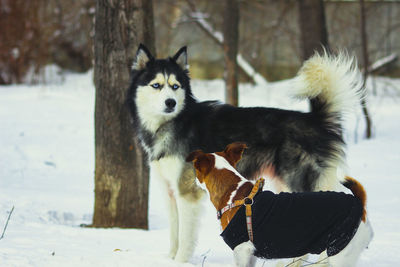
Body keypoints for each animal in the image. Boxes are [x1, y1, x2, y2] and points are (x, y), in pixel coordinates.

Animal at [126, 44, 360, 264]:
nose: (171, 103)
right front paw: (169, 258)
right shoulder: (170, 191)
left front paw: (180, 261)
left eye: (175, 86)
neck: (174, 122)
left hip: (300, 183)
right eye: (156, 85)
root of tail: (315, 120)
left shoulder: (187, 193)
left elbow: (185, 237)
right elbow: (175, 233)